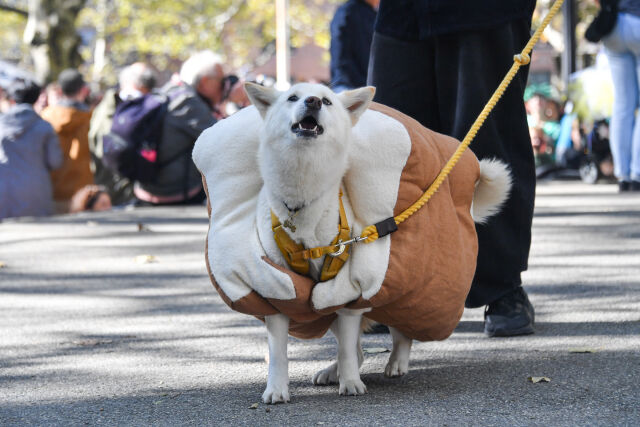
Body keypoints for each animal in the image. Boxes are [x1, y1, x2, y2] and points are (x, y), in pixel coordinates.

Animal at [238, 83, 512, 404]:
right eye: (292, 97)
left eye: (327, 101)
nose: (313, 101)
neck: (302, 203)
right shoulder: (280, 290)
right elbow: (280, 353)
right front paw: (277, 389)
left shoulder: (347, 292)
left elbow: (348, 348)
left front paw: (351, 384)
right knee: (357, 348)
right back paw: (332, 372)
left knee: (397, 334)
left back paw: (395, 363)